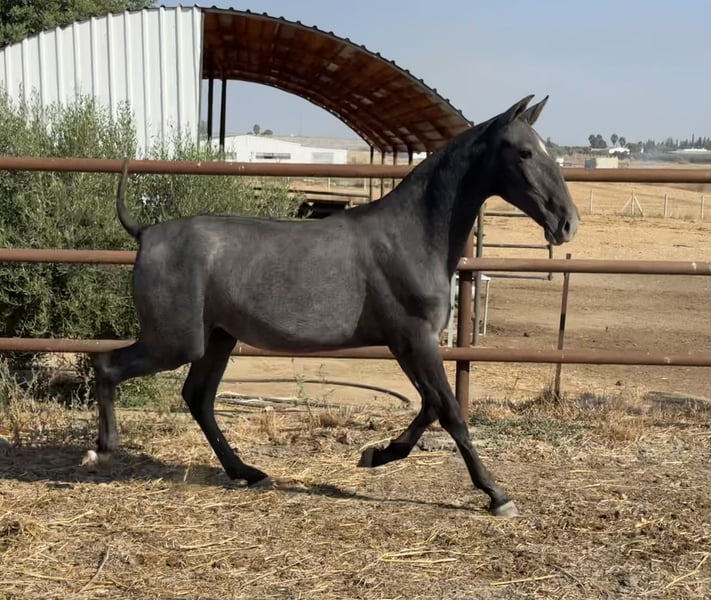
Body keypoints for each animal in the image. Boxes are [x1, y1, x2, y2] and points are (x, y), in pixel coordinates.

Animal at [90, 95, 579, 516]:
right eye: (524, 153)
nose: (567, 223)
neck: (413, 237)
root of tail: (144, 232)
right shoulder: (415, 338)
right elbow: (450, 411)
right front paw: (497, 495)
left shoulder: (408, 343)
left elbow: (429, 406)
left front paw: (376, 454)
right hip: (176, 342)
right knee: (108, 365)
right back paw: (102, 450)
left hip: (217, 339)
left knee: (198, 397)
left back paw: (247, 473)